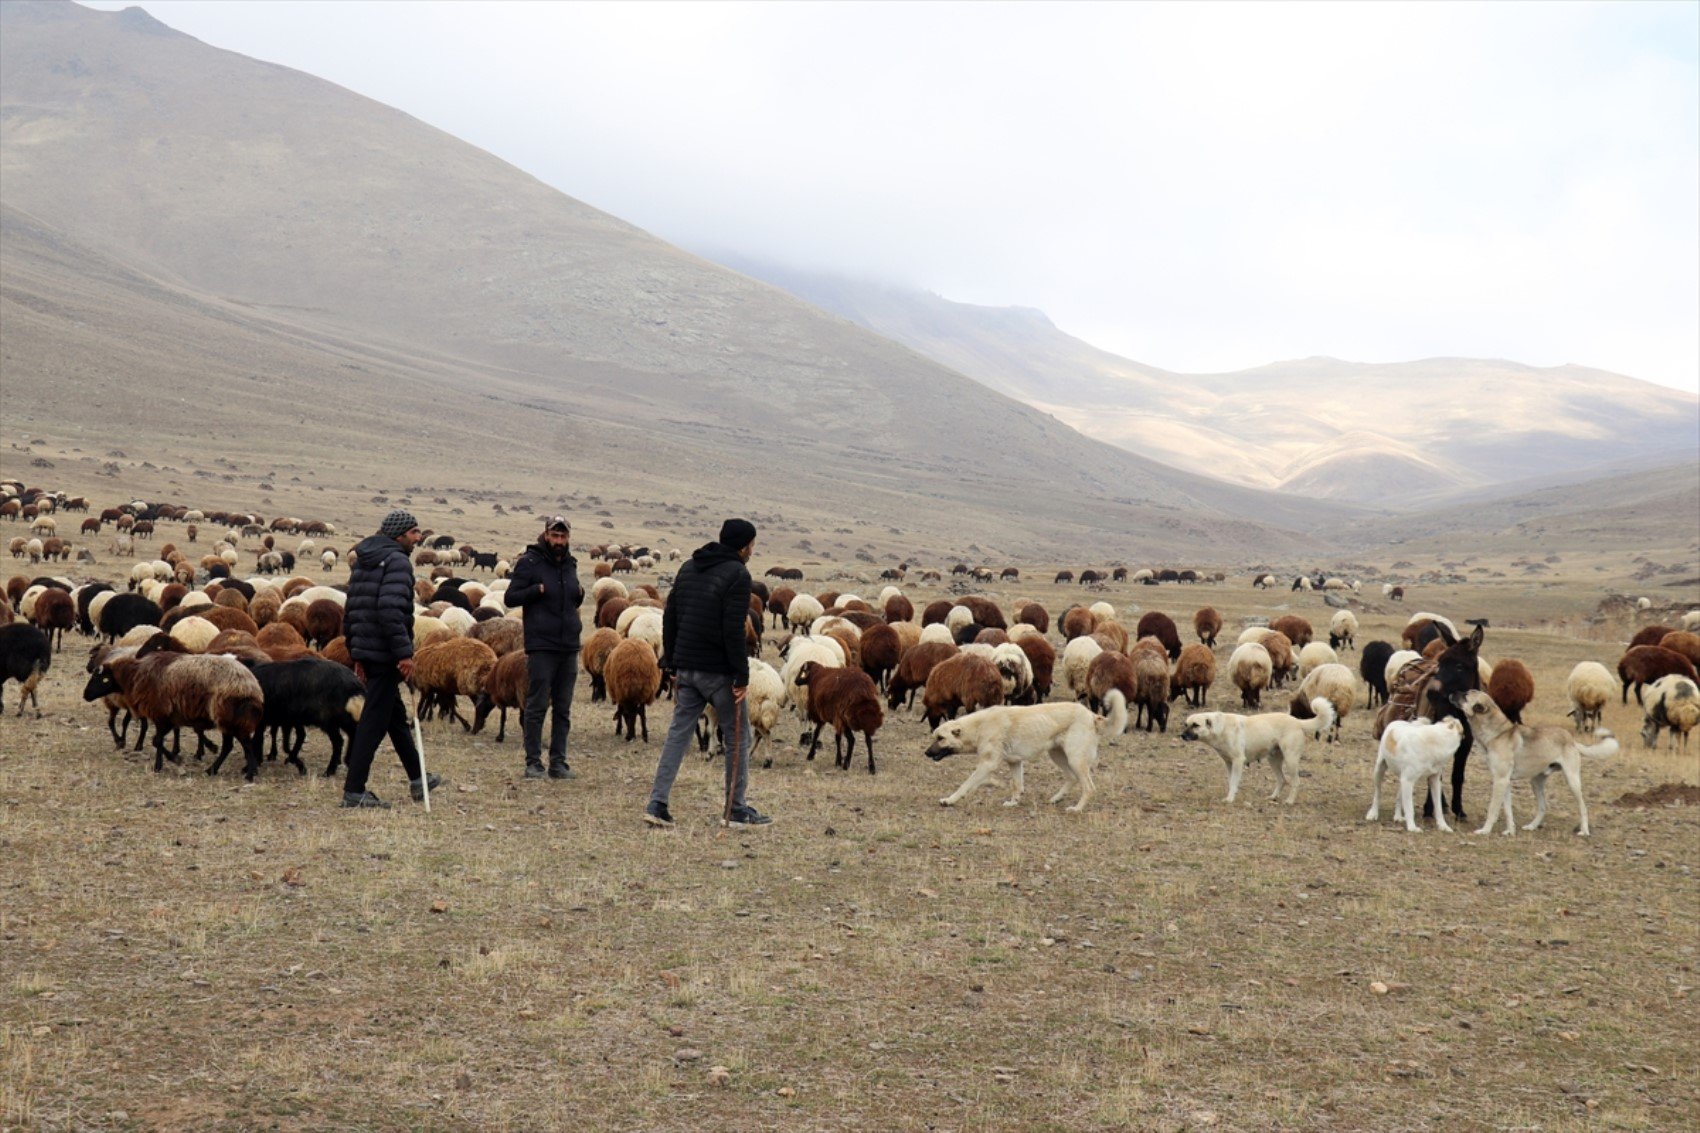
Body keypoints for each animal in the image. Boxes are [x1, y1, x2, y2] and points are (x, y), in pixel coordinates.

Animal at [924, 683, 1122, 806]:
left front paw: (949, 800)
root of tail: (1092, 715)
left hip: (1074, 759)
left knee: (1089, 788)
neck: (978, 727)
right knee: (1072, 778)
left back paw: (1076, 809)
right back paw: (1056, 799)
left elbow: (966, 784)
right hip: (1058, 756)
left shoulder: (987, 764)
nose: (926, 753)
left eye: (940, 738)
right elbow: (1017, 785)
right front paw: (1013, 802)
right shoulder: (1014, 762)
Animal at [1176, 694, 1332, 799]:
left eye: (1196, 725)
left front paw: (1230, 799)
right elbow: (1230, 781)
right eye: (1185, 724)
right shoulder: (1229, 763)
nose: (1182, 735)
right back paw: (1273, 797)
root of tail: (1297, 722)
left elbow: (1234, 781)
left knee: (1296, 782)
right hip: (1273, 760)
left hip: (1291, 760)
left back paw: (1289, 801)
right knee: (1282, 780)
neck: (1220, 728)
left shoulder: (1238, 761)